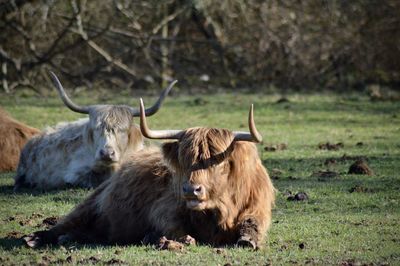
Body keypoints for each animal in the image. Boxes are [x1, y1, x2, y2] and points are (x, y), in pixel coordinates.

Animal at [24, 99, 276, 249]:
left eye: (219, 162)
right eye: (184, 160)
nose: (190, 190)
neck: (221, 210)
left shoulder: (258, 207)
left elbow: (252, 224)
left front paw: (247, 240)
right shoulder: (164, 208)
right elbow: (173, 226)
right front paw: (169, 238)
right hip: (89, 205)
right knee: (66, 223)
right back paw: (34, 239)